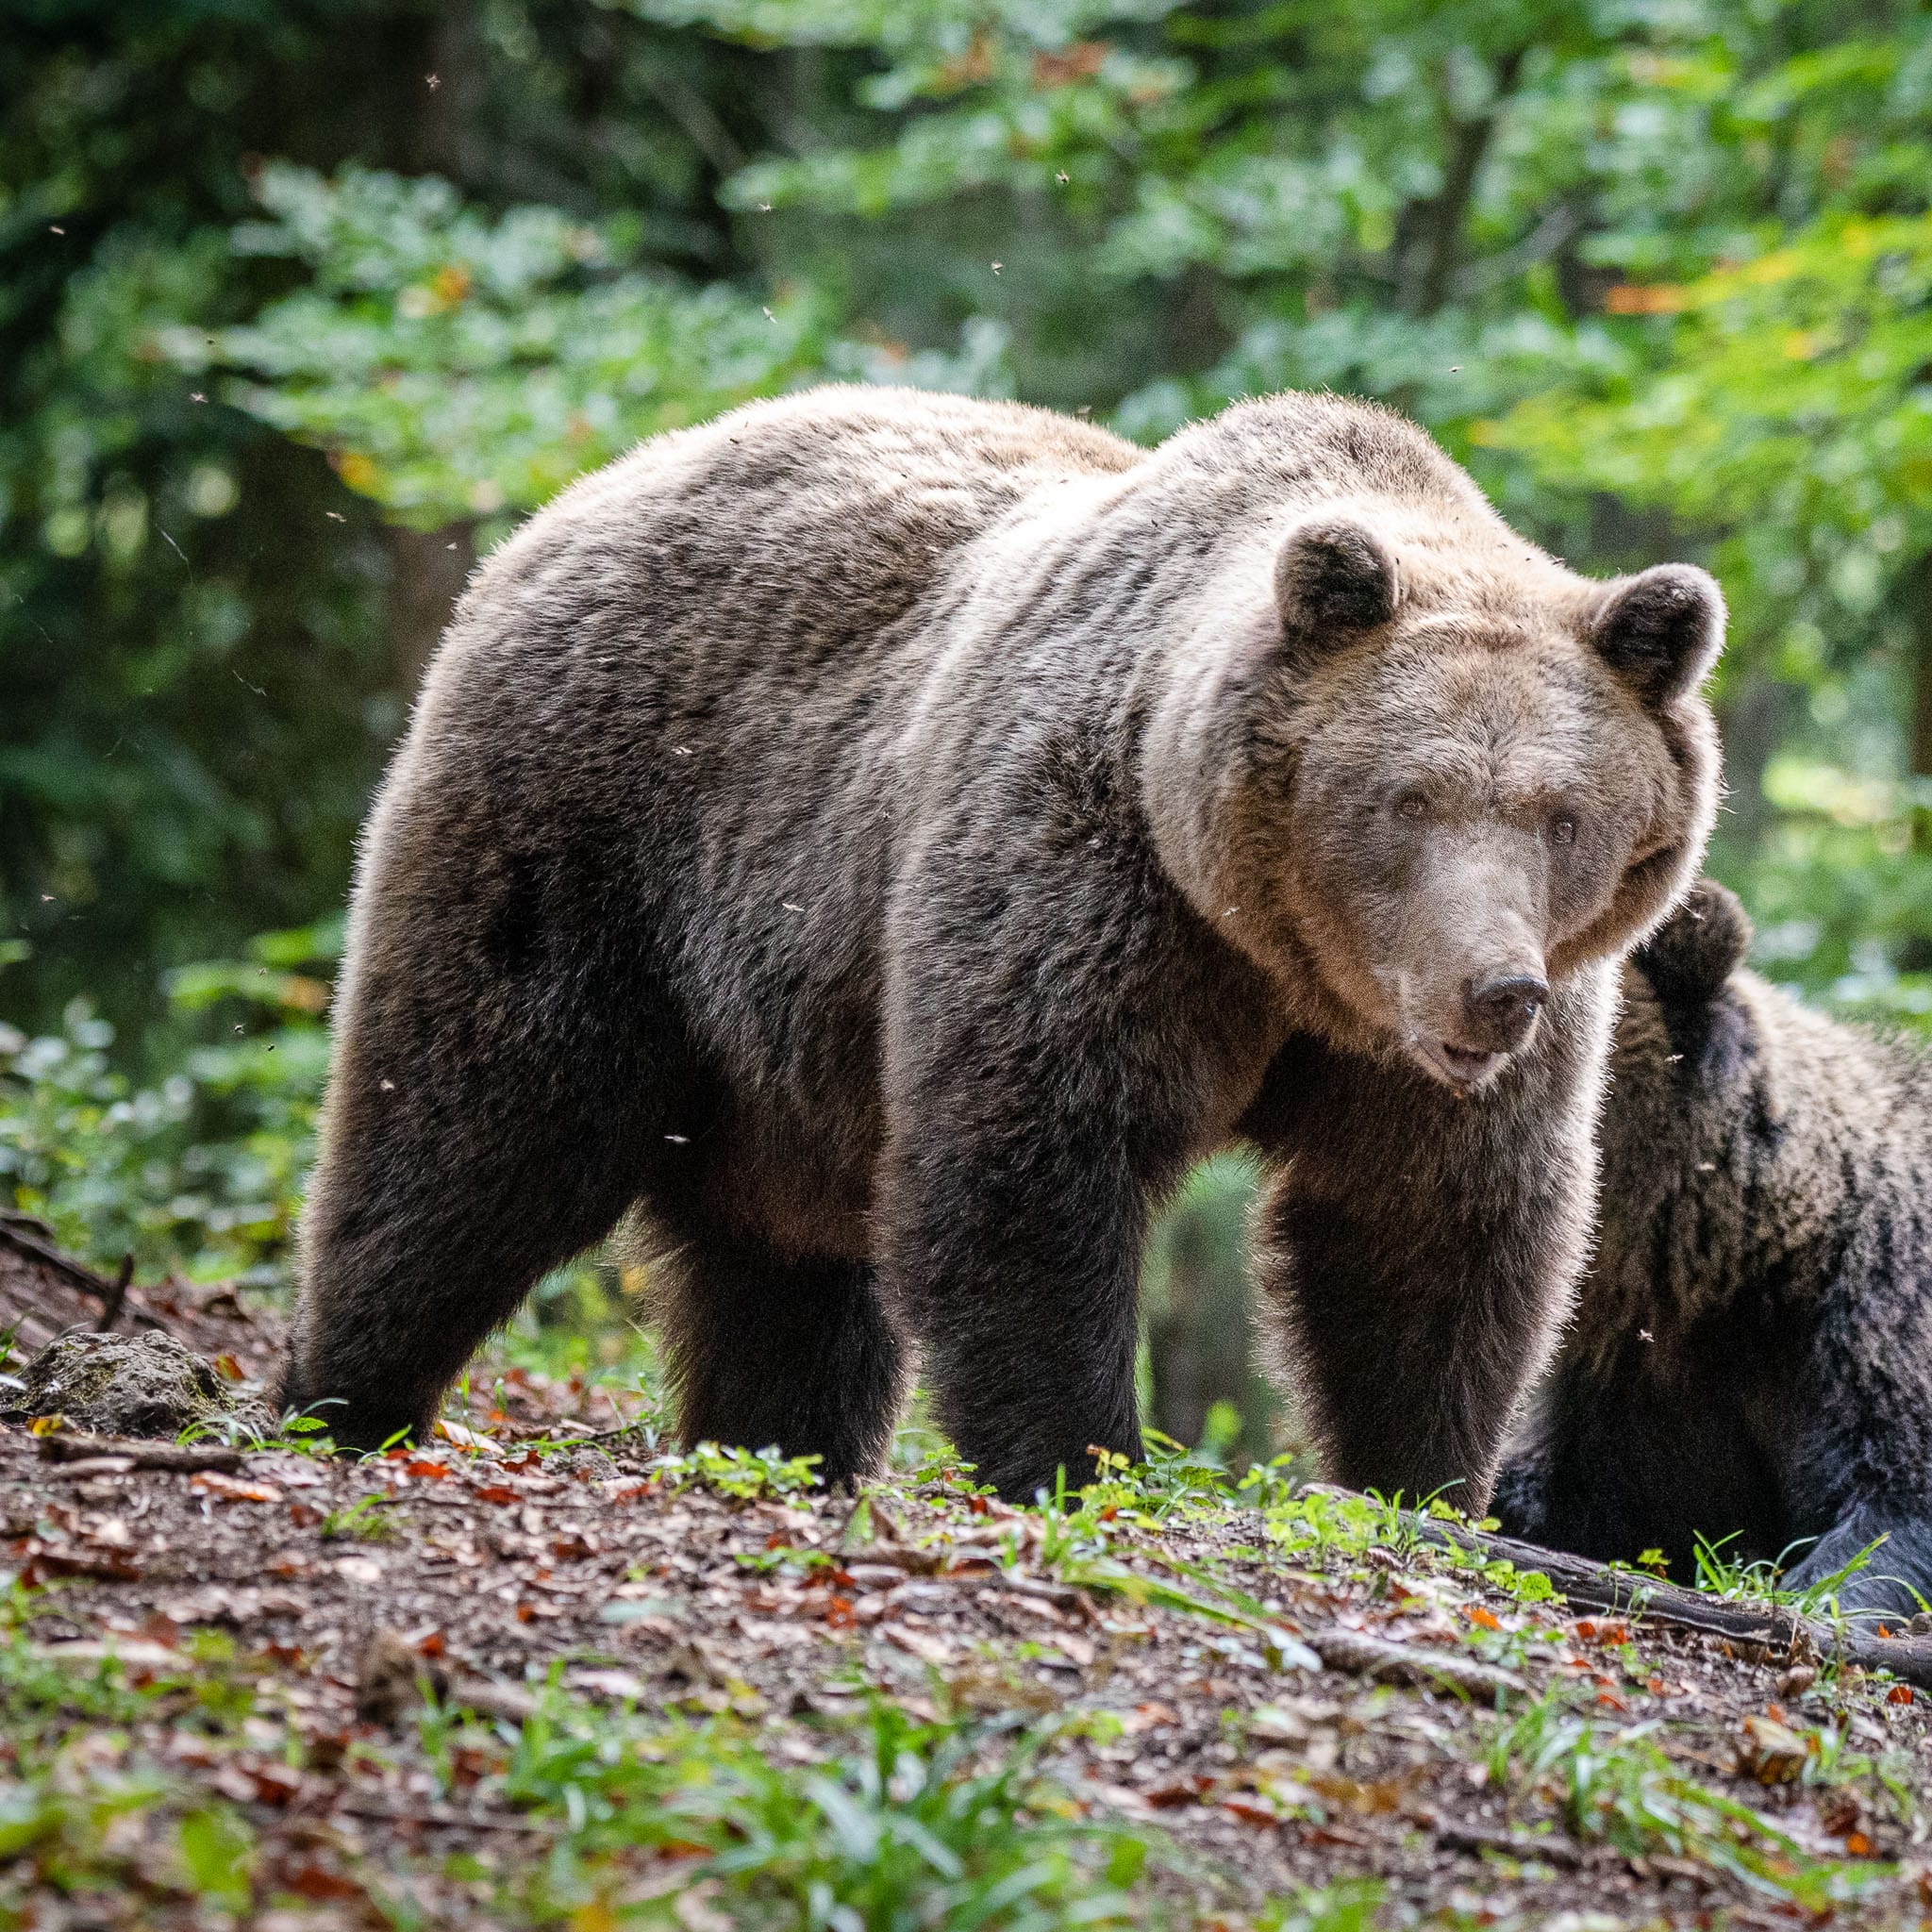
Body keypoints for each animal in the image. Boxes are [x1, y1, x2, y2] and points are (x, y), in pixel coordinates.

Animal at [282, 384, 1725, 1503]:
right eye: (1406, 798)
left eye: (1563, 813)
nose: (1495, 992)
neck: (1269, 945)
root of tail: (580, 496)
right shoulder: (1084, 874)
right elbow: (1032, 1156)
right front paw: (1076, 1459)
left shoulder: (1429, 1041)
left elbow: (1430, 1225)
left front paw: (1417, 1482)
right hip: (589, 835)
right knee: (476, 1128)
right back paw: (347, 1397)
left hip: (787, 1033)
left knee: (787, 1263)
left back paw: (775, 1447)